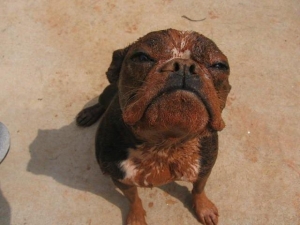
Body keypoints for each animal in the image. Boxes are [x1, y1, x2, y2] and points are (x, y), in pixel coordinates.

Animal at [76, 29, 231, 224]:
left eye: (219, 66)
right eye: (142, 57)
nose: (184, 65)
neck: (165, 144)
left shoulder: (204, 168)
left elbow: (199, 188)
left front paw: (203, 207)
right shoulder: (120, 178)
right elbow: (133, 198)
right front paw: (136, 216)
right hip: (107, 91)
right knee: (101, 102)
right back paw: (90, 113)